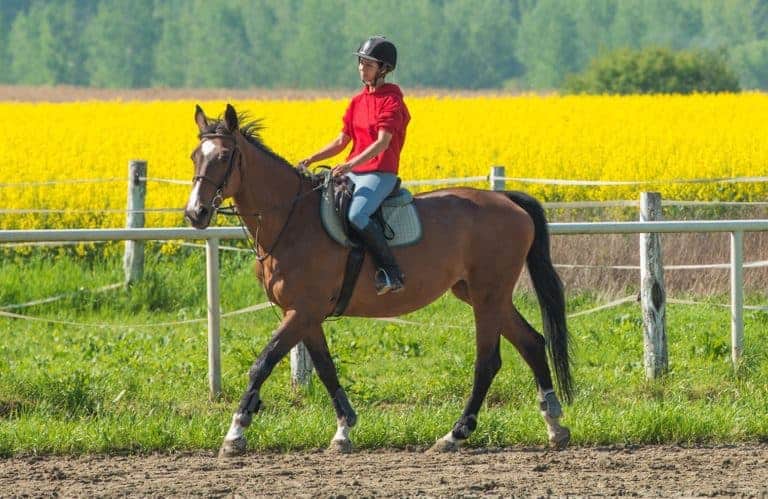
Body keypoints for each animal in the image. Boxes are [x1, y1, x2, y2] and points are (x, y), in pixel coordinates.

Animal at [185, 104, 573, 457]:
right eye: (194, 156)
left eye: (224, 156)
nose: (195, 213)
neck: (292, 219)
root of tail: (506, 200)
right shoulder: (303, 315)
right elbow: (326, 369)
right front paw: (343, 431)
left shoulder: (303, 311)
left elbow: (262, 364)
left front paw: (235, 433)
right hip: (483, 295)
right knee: (532, 343)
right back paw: (555, 426)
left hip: (488, 296)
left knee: (488, 361)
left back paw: (456, 434)